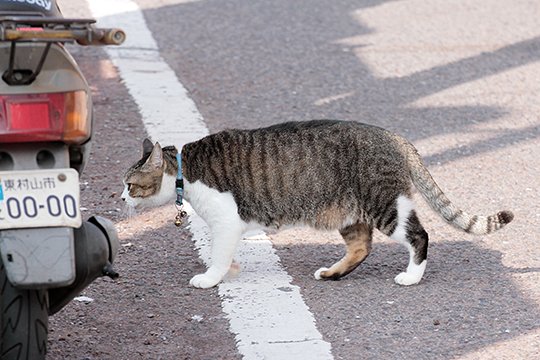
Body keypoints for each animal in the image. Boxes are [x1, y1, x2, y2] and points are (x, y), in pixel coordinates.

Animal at [122, 121, 516, 290]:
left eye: (129, 184)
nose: (120, 198)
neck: (184, 171)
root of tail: (394, 135)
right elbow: (224, 253)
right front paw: (230, 269)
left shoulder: (226, 222)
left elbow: (218, 254)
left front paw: (211, 277)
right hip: (349, 213)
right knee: (361, 247)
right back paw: (331, 273)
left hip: (383, 204)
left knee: (419, 235)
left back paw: (411, 276)